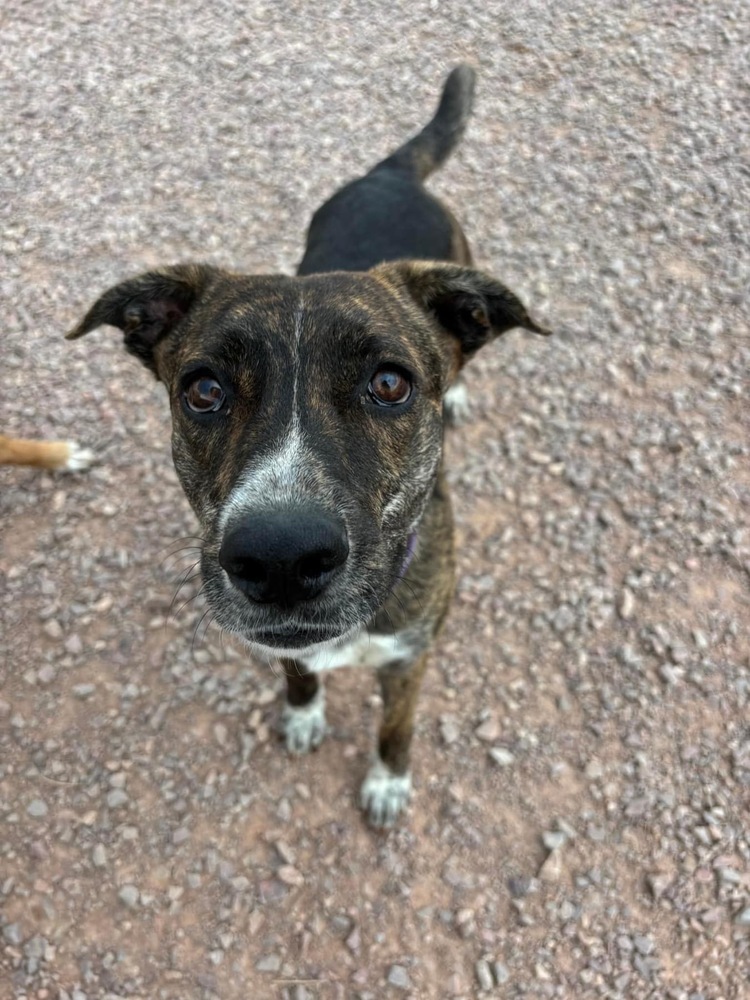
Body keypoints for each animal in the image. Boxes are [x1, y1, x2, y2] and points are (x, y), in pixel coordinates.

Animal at [67, 66, 548, 824]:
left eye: (390, 383)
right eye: (203, 389)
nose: (281, 558)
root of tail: (388, 174)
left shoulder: (410, 658)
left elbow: (395, 726)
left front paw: (387, 781)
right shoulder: (285, 645)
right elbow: (297, 675)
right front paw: (302, 715)